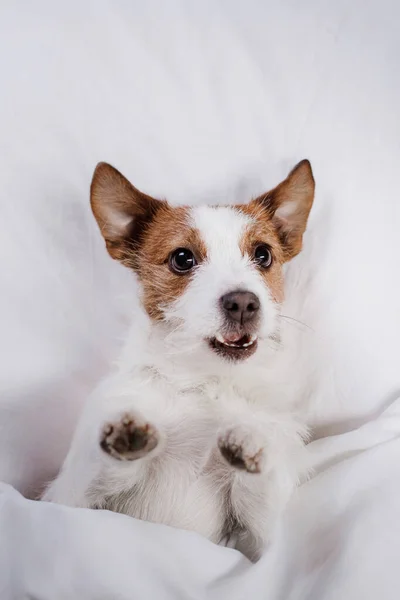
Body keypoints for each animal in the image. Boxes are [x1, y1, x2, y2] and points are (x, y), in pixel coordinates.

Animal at [43, 158, 316, 556]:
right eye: (183, 258)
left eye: (263, 255)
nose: (243, 303)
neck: (202, 384)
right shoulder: (68, 500)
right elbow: (94, 474)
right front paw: (124, 437)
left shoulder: (251, 543)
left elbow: (260, 501)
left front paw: (251, 441)